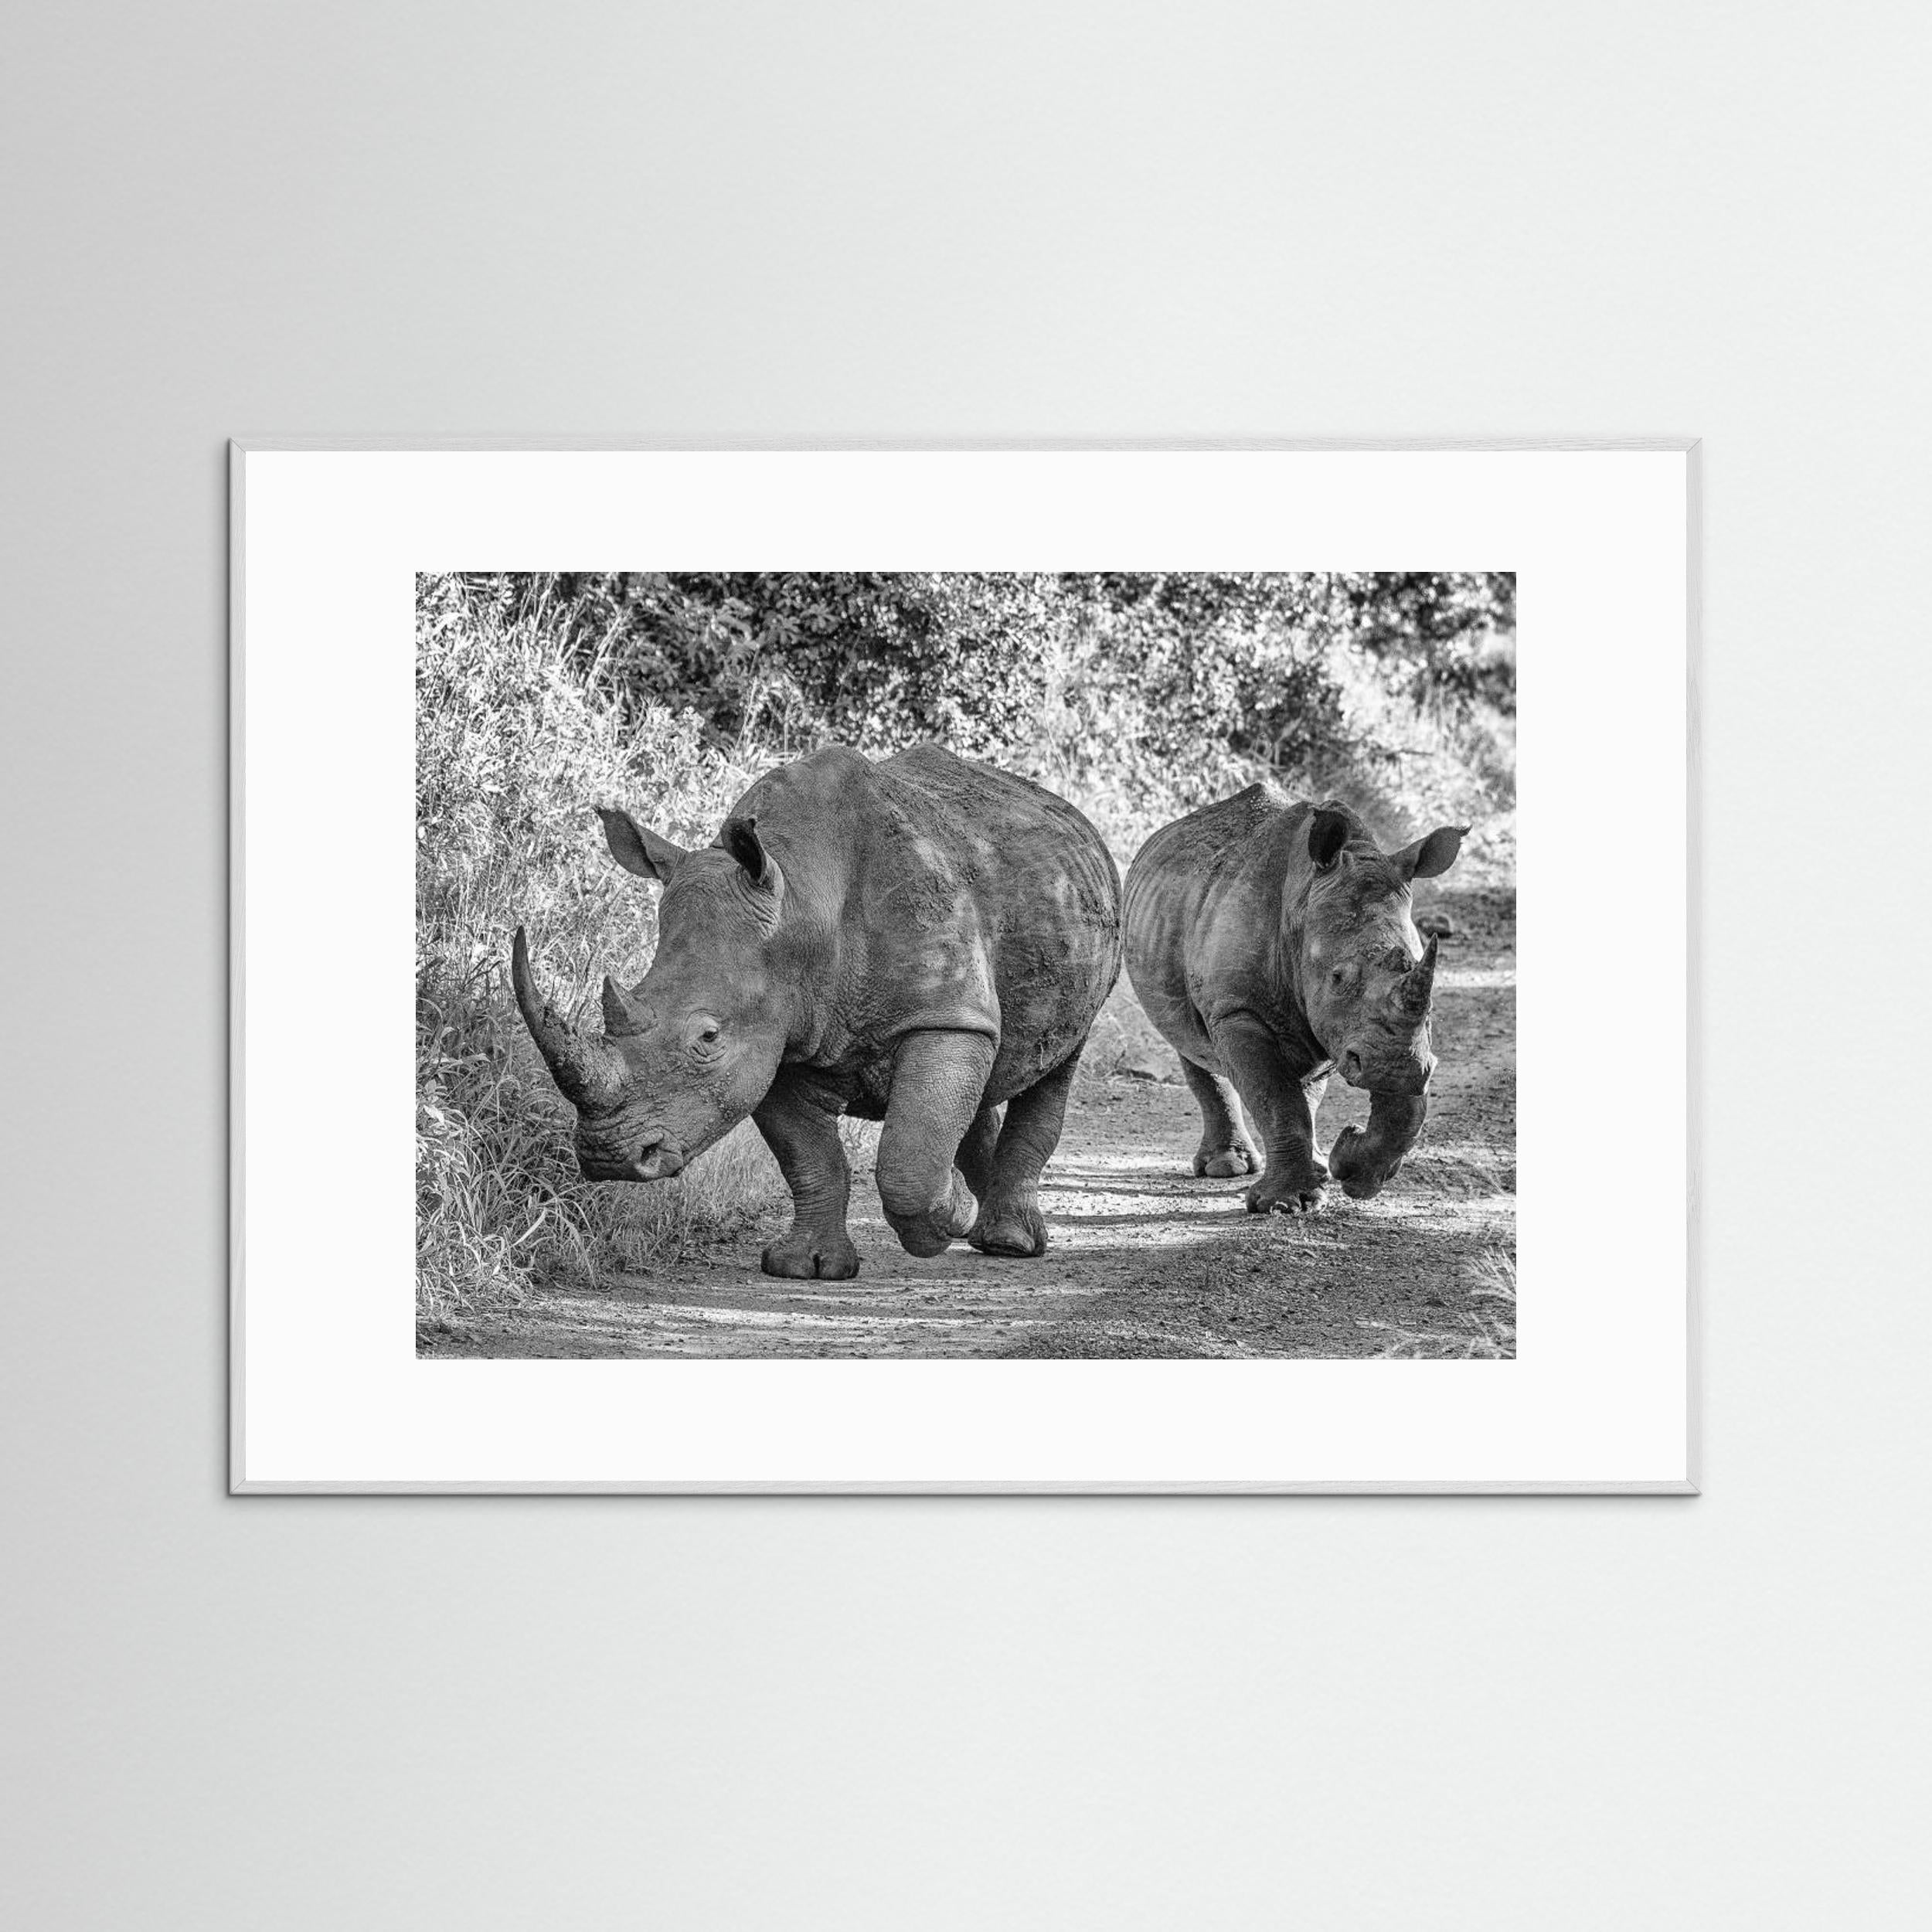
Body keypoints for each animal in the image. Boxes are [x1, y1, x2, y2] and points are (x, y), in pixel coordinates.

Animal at [511, 742, 1122, 1278]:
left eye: (708, 1038)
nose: (608, 1156)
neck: (803, 902)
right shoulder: (777, 1034)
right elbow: (809, 1158)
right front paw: (807, 1267)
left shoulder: (940, 1013)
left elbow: (908, 1160)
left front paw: (945, 1216)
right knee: (992, 1063)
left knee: (1055, 1063)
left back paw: (1007, 1242)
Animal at [1122, 787, 1466, 1213]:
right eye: (1338, 978)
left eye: (1429, 996)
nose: (1398, 1068)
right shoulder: (1237, 1009)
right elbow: (1275, 1098)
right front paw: (1285, 1204)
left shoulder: (1350, 1030)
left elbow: (1375, 1108)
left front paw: (1347, 1167)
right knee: (1189, 1042)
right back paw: (1226, 1168)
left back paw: (1313, 1165)